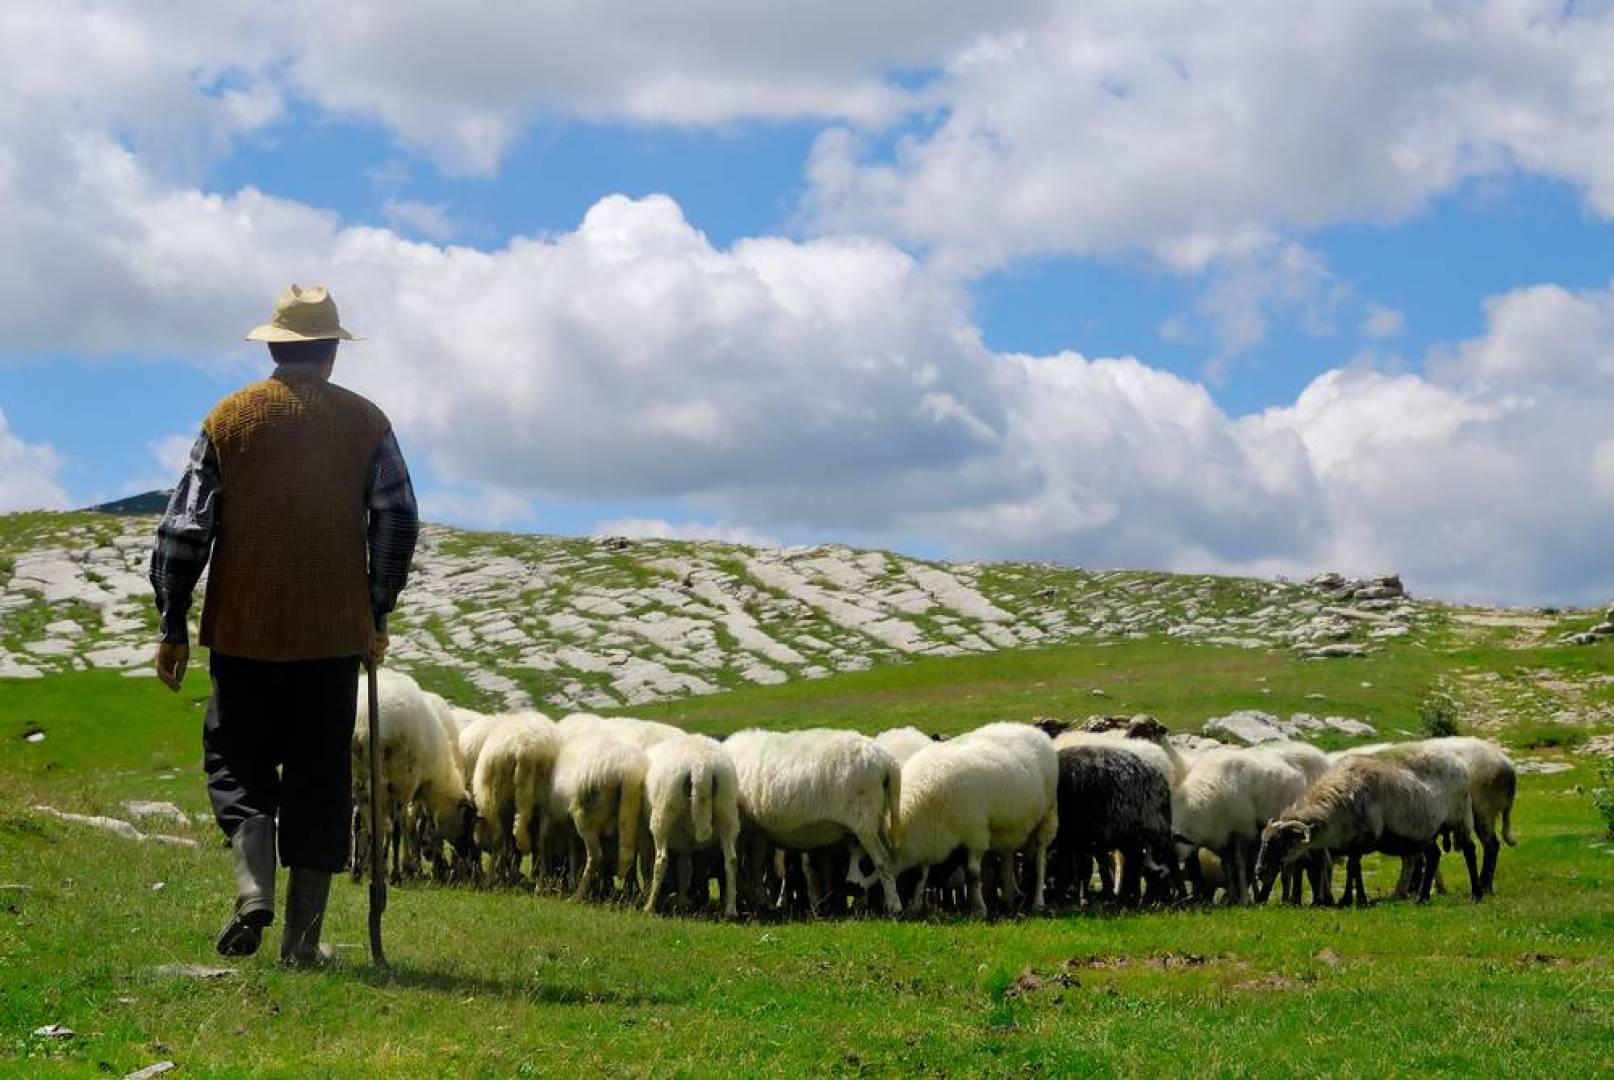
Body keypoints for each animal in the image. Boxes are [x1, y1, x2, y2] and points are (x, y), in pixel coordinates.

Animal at [642, 729, 742, 916]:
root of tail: (701, 768)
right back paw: (730, 909)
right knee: (731, 860)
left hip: (663, 812)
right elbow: (684, 868)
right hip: (727, 810)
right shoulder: (685, 842)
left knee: (661, 859)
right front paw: (682, 900)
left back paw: (649, 906)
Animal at [723, 729, 903, 916]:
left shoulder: (743, 828)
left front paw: (739, 904)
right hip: (878, 820)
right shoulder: (758, 831)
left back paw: (894, 906)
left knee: (882, 861)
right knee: (888, 858)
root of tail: (887, 763)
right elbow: (755, 866)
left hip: (864, 822)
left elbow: (737, 864)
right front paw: (760, 902)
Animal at [1174, 749, 1310, 904]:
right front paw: (1232, 897)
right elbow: (1228, 867)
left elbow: (1239, 865)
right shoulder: (1223, 838)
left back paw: (1286, 898)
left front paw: (1242, 899)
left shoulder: (1243, 832)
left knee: (1290, 865)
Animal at [1246, 755, 1452, 904]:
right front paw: (1340, 899)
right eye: (1263, 842)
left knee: (1432, 857)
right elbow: (1340, 870)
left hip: (1424, 834)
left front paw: (1353, 899)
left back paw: (1421, 897)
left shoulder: (1359, 843)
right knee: (1429, 857)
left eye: (1281, 843)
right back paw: (1419, 895)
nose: (1259, 872)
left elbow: (1352, 869)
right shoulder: (1338, 846)